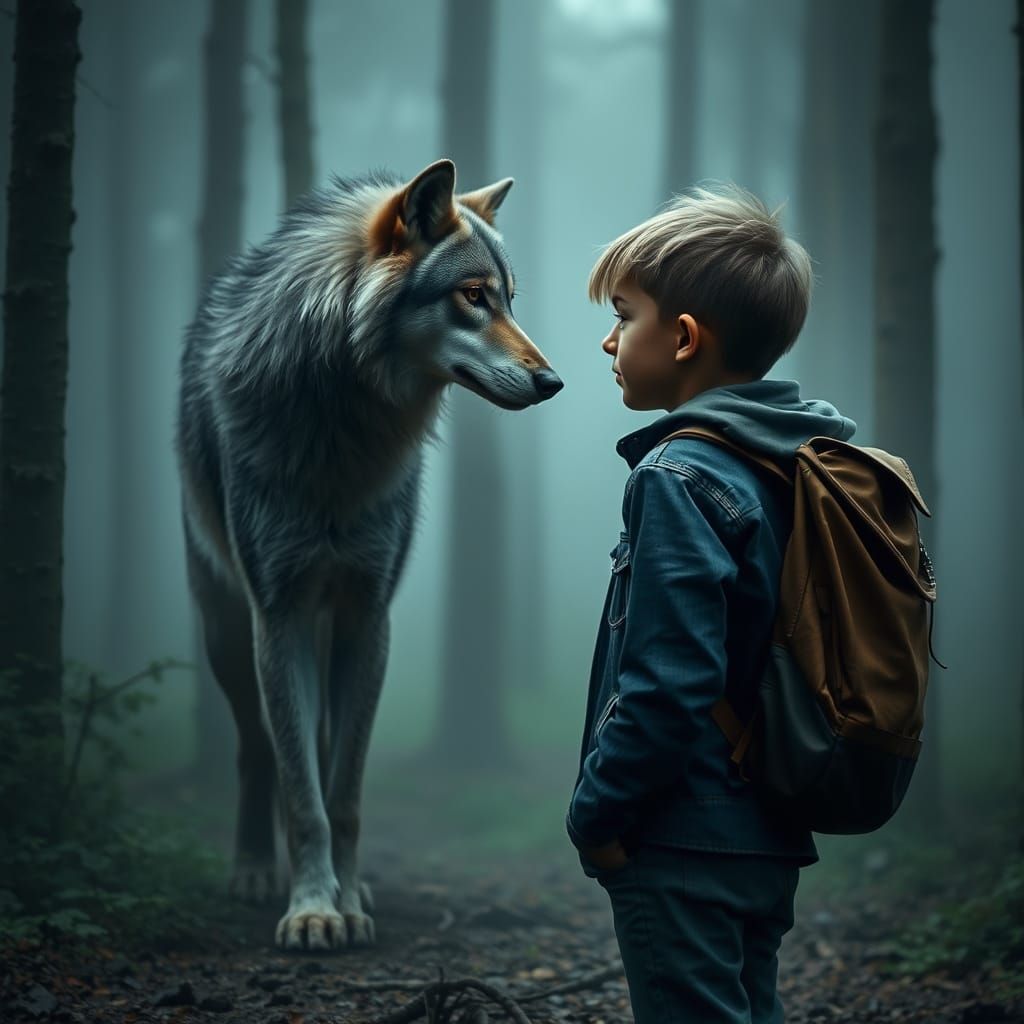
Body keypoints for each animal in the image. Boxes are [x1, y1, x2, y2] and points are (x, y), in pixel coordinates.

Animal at [174, 159, 561, 951]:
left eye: (510, 299)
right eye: (472, 295)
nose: (552, 382)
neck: (341, 434)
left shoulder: (367, 614)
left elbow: (343, 791)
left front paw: (345, 900)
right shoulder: (280, 614)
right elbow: (303, 792)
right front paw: (311, 909)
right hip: (228, 634)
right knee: (257, 749)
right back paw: (256, 870)